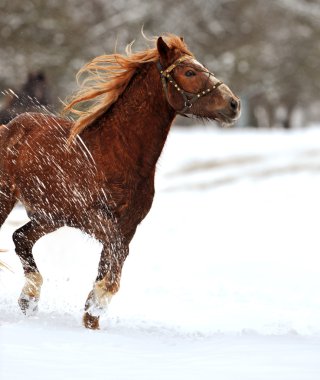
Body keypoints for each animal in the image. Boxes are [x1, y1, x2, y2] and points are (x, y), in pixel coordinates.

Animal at [0, 34, 240, 328]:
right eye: (190, 72)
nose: (233, 104)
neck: (112, 154)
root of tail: (9, 127)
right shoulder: (92, 219)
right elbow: (116, 257)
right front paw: (99, 301)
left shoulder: (127, 226)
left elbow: (112, 262)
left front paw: (93, 313)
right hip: (9, 201)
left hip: (50, 217)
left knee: (21, 238)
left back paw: (29, 298)